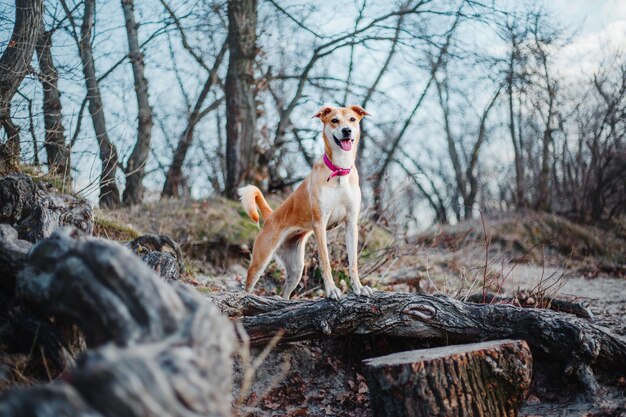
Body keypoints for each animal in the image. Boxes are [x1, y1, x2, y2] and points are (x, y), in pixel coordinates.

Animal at [235, 104, 370, 300]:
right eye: (334, 120)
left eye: (352, 119)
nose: (347, 131)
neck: (339, 170)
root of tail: (270, 216)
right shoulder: (320, 223)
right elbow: (325, 262)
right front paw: (332, 290)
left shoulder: (351, 223)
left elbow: (353, 262)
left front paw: (359, 288)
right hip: (259, 262)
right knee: (248, 285)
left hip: (296, 269)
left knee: (285, 293)